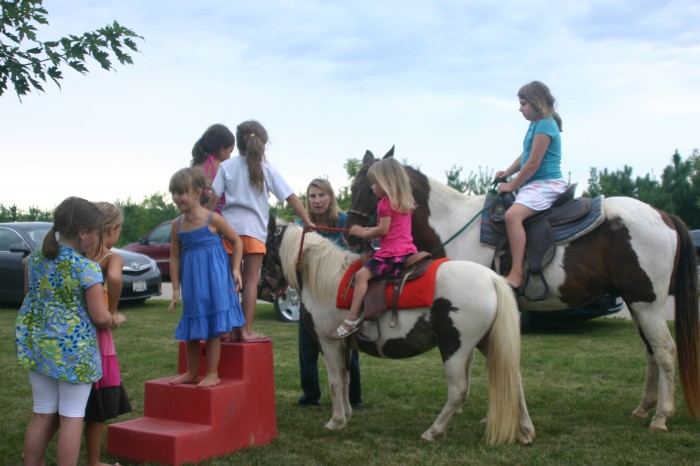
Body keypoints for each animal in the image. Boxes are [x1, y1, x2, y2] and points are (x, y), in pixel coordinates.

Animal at [344, 147, 700, 432]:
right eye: (354, 185)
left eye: (373, 191)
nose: (351, 235)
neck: (455, 226)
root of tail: (665, 216)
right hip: (636, 302)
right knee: (651, 351)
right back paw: (642, 409)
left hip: (647, 302)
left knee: (664, 351)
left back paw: (661, 417)